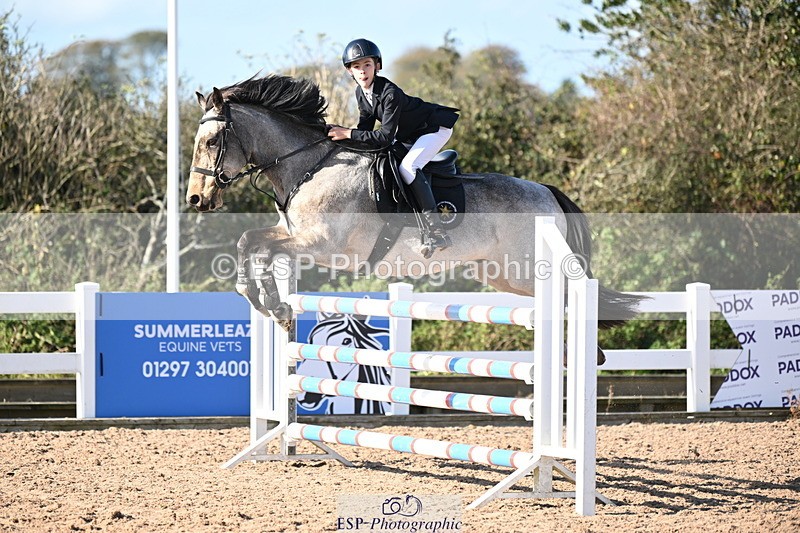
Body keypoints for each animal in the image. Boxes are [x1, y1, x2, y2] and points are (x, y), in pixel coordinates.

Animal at [186, 74, 645, 355]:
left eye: (211, 141)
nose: (196, 200)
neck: (310, 165)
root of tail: (546, 191)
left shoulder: (324, 246)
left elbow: (257, 246)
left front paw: (272, 304)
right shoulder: (294, 237)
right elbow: (251, 243)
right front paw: (269, 305)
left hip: (530, 268)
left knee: (572, 295)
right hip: (504, 275)